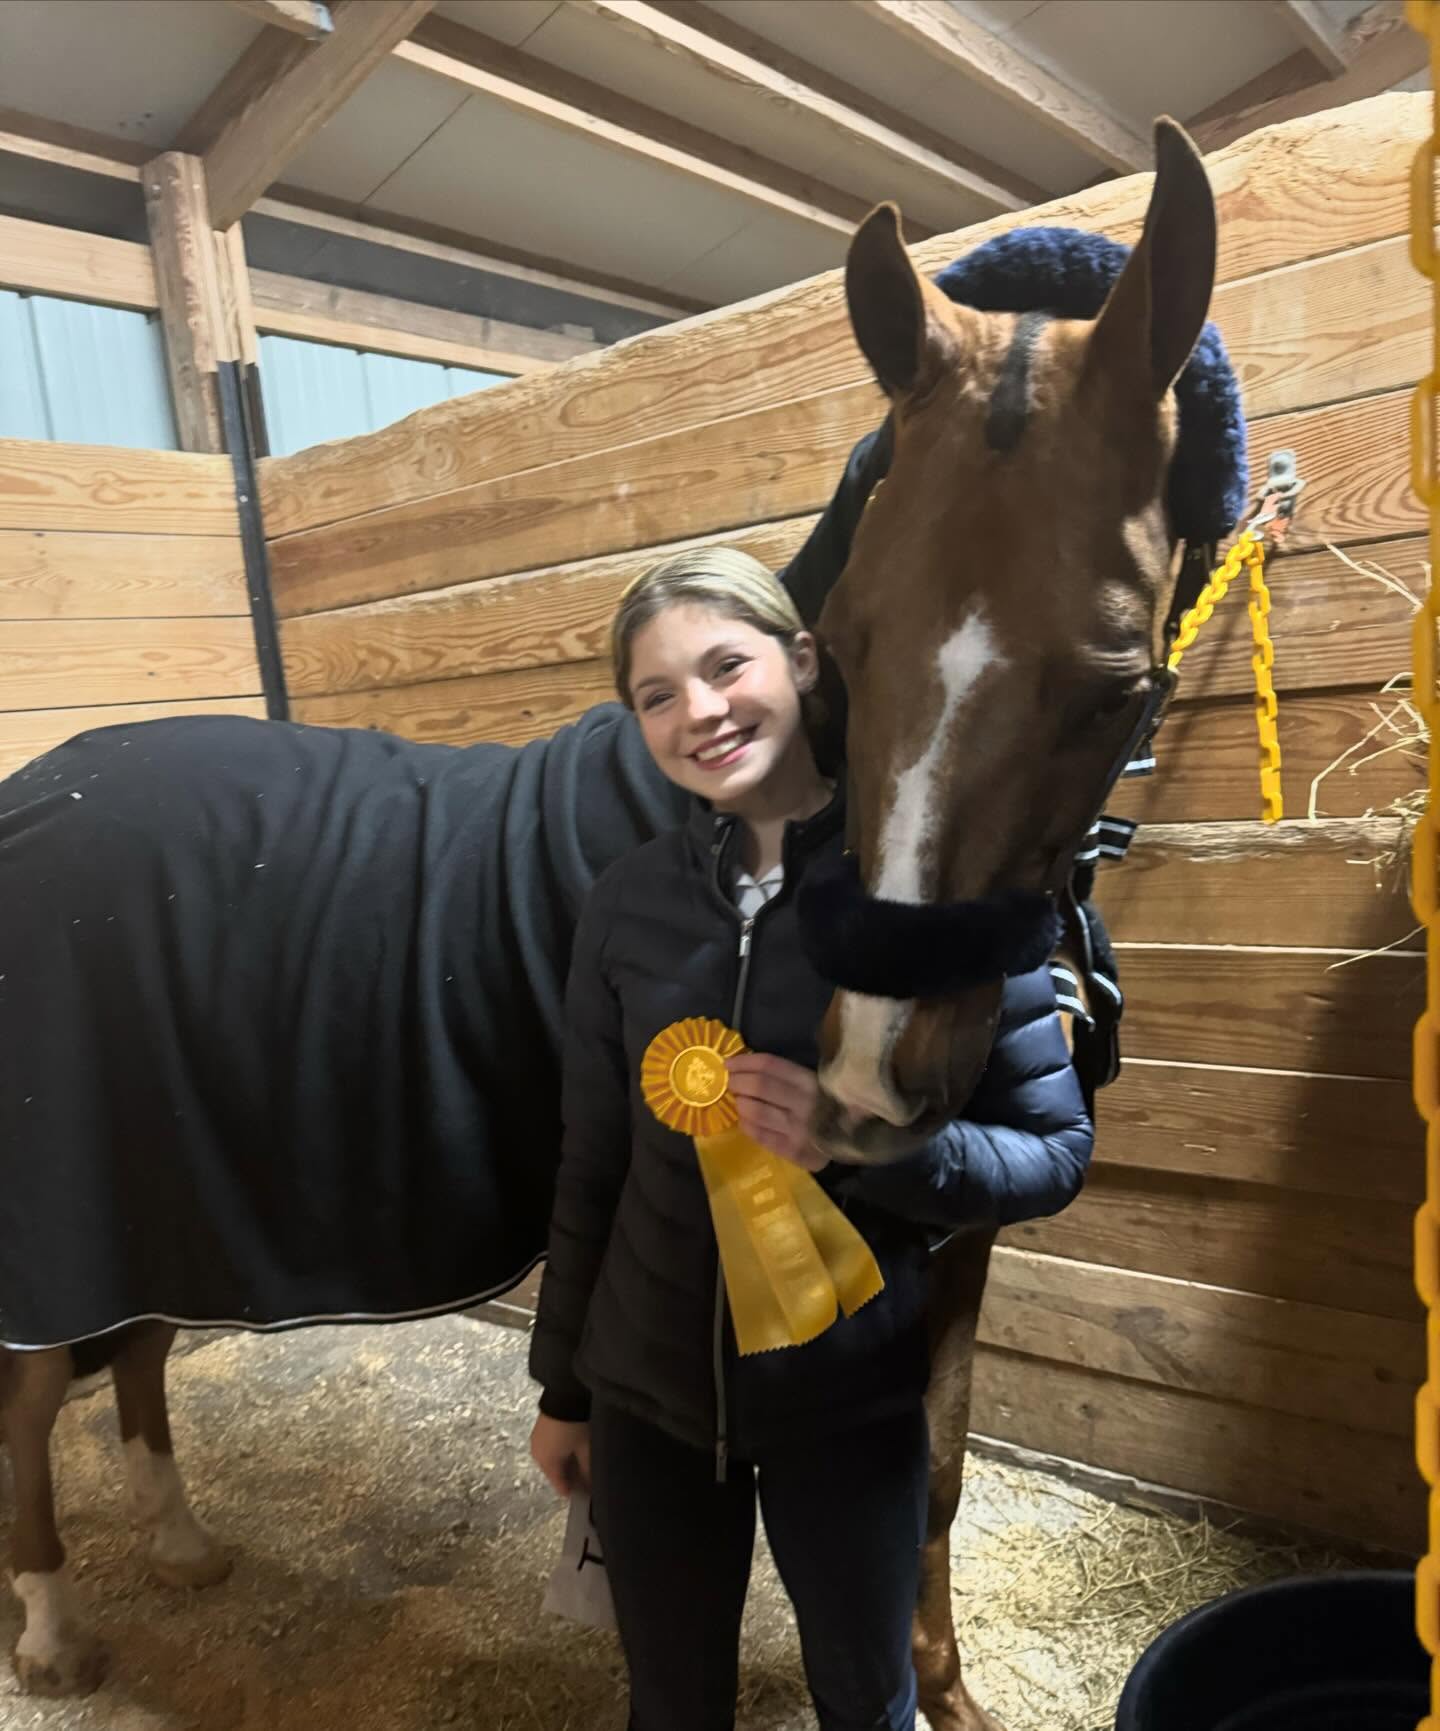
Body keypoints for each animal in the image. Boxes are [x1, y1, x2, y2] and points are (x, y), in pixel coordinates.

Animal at [0, 115, 1221, 1731]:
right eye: (852, 640)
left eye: (1112, 686)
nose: (870, 1074)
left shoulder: (951, 1226)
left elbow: (940, 1474)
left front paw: (947, 1694)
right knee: (32, 1394)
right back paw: (54, 1626)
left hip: (158, 1181)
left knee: (134, 1349)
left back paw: (184, 1544)